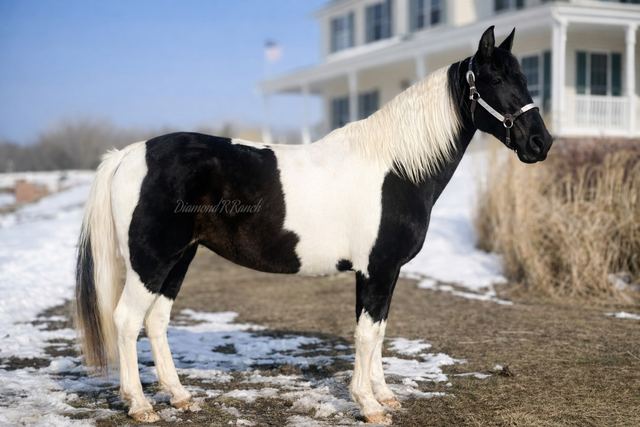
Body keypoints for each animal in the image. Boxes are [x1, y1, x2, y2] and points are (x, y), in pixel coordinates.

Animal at [75, 26, 552, 424]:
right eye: (494, 81)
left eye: (524, 78)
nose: (540, 143)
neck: (397, 168)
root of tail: (129, 154)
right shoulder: (377, 269)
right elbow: (366, 334)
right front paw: (369, 406)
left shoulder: (384, 272)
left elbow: (379, 331)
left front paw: (385, 395)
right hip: (150, 261)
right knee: (126, 320)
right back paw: (139, 405)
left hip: (179, 258)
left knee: (155, 321)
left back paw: (179, 396)